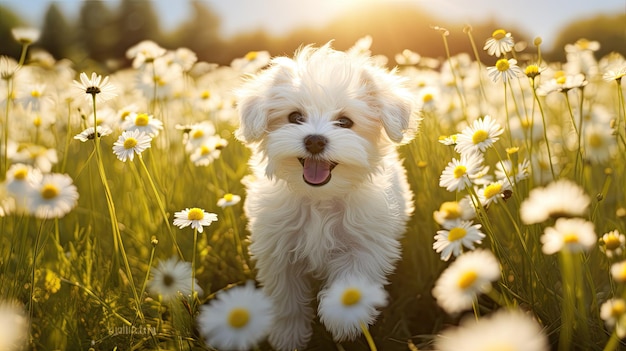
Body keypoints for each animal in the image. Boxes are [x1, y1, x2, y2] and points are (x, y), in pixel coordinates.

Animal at [234, 44, 414, 351]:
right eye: (295, 117)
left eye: (345, 122)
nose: (315, 140)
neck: (319, 199)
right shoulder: (278, 252)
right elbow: (287, 299)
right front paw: (287, 336)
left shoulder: (366, 244)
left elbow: (353, 278)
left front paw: (343, 321)